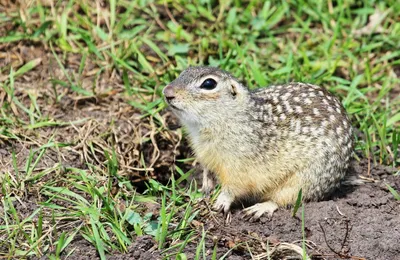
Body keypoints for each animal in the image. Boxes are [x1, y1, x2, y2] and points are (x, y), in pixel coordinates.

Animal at [162, 66, 354, 220]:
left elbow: (234, 186)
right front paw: (204, 188)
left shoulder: (239, 164)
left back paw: (260, 208)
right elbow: (207, 170)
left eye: (209, 84)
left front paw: (221, 201)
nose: (167, 92)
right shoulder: (206, 155)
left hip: (304, 182)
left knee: (285, 200)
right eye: (183, 71)